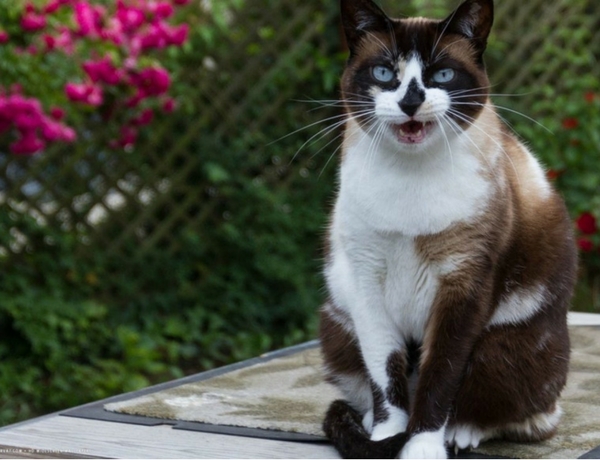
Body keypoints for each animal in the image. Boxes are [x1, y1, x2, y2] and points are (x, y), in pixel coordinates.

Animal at [322, 0, 580, 458]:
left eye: (441, 76)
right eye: (384, 73)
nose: (410, 101)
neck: (409, 179)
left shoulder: (463, 285)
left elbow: (439, 378)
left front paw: (421, 447)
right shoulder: (366, 281)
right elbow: (386, 379)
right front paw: (387, 438)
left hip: (502, 347)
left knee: (522, 415)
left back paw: (461, 433)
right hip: (338, 321)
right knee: (367, 388)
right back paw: (369, 426)